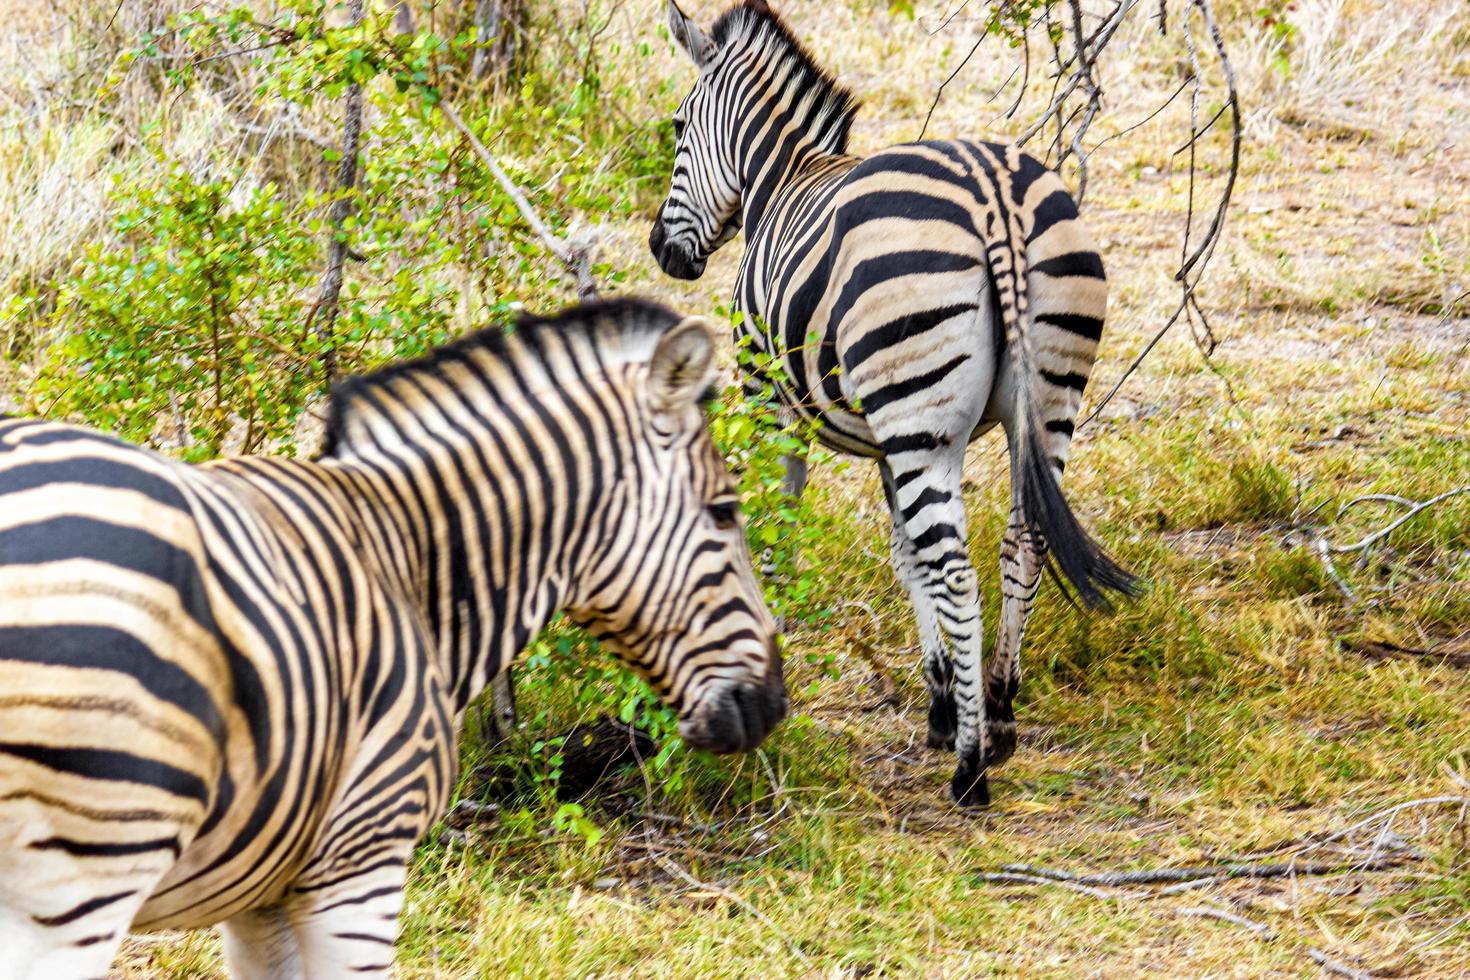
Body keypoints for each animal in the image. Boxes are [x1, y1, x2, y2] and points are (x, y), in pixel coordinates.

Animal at [0, 299, 787, 980]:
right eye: (724, 512)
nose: (774, 704)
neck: (408, 563)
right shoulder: (362, 864)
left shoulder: (262, 891)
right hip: (88, 875)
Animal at [649, 0, 1140, 811]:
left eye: (682, 127)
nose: (661, 250)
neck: (782, 179)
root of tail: (994, 197)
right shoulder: (887, 437)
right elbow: (905, 554)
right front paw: (942, 700)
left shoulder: (770, 400)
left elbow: (782, 527)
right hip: (1041, 401)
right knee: (1021, 543)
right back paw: (998, 710)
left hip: (920, 417)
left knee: (960, 569)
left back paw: (972, 768)